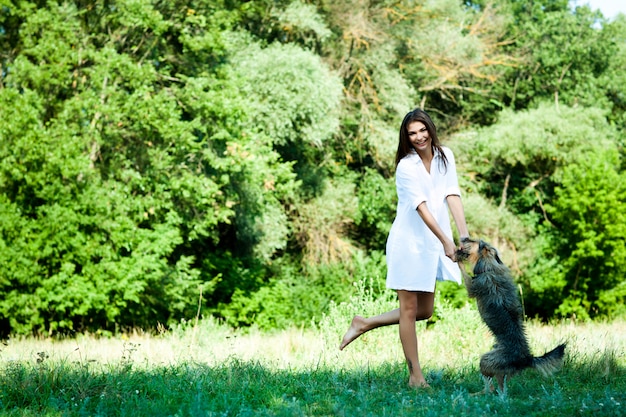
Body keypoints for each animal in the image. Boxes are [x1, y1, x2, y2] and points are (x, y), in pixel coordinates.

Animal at [454, 237, 564, 394]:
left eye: (473, 240)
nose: (462, 238)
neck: (489, 267)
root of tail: (527, 359)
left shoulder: (472, 287)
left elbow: (463, 271)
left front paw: (457, 258)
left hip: (486, 360)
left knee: (493, 387)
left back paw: (478, 394)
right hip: (498, 368)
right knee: (500, 388)